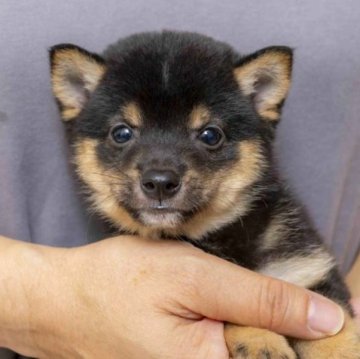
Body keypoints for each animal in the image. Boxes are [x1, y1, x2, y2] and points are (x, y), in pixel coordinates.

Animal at [49, 31, 358, 359]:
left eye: (210, 135)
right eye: (121, 133)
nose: (160, 182)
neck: (225, 237)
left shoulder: (307, 270)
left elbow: (337, 331)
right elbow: (233, 306)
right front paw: (261, 341)